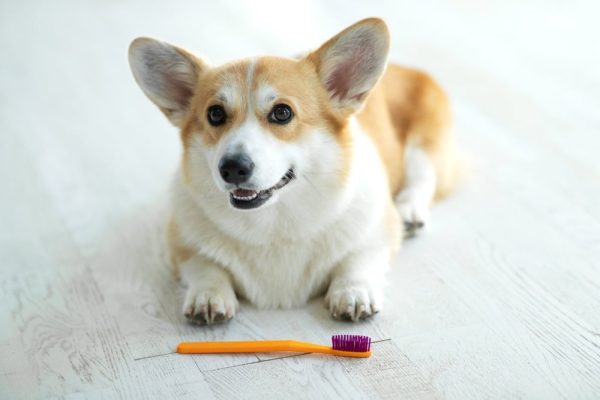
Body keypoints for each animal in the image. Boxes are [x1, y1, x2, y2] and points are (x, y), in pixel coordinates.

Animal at [126, 18, 454, 324]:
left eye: (282, 113)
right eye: (215, 114)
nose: (232, 168)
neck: (274, 223)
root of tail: (401, 66)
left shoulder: (378, 233)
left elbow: (357, 259)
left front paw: (352, 292)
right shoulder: (181, 242)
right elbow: (203, 264)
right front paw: (208, 295)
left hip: (424, 142)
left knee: (424, 175)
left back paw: (410, 210)